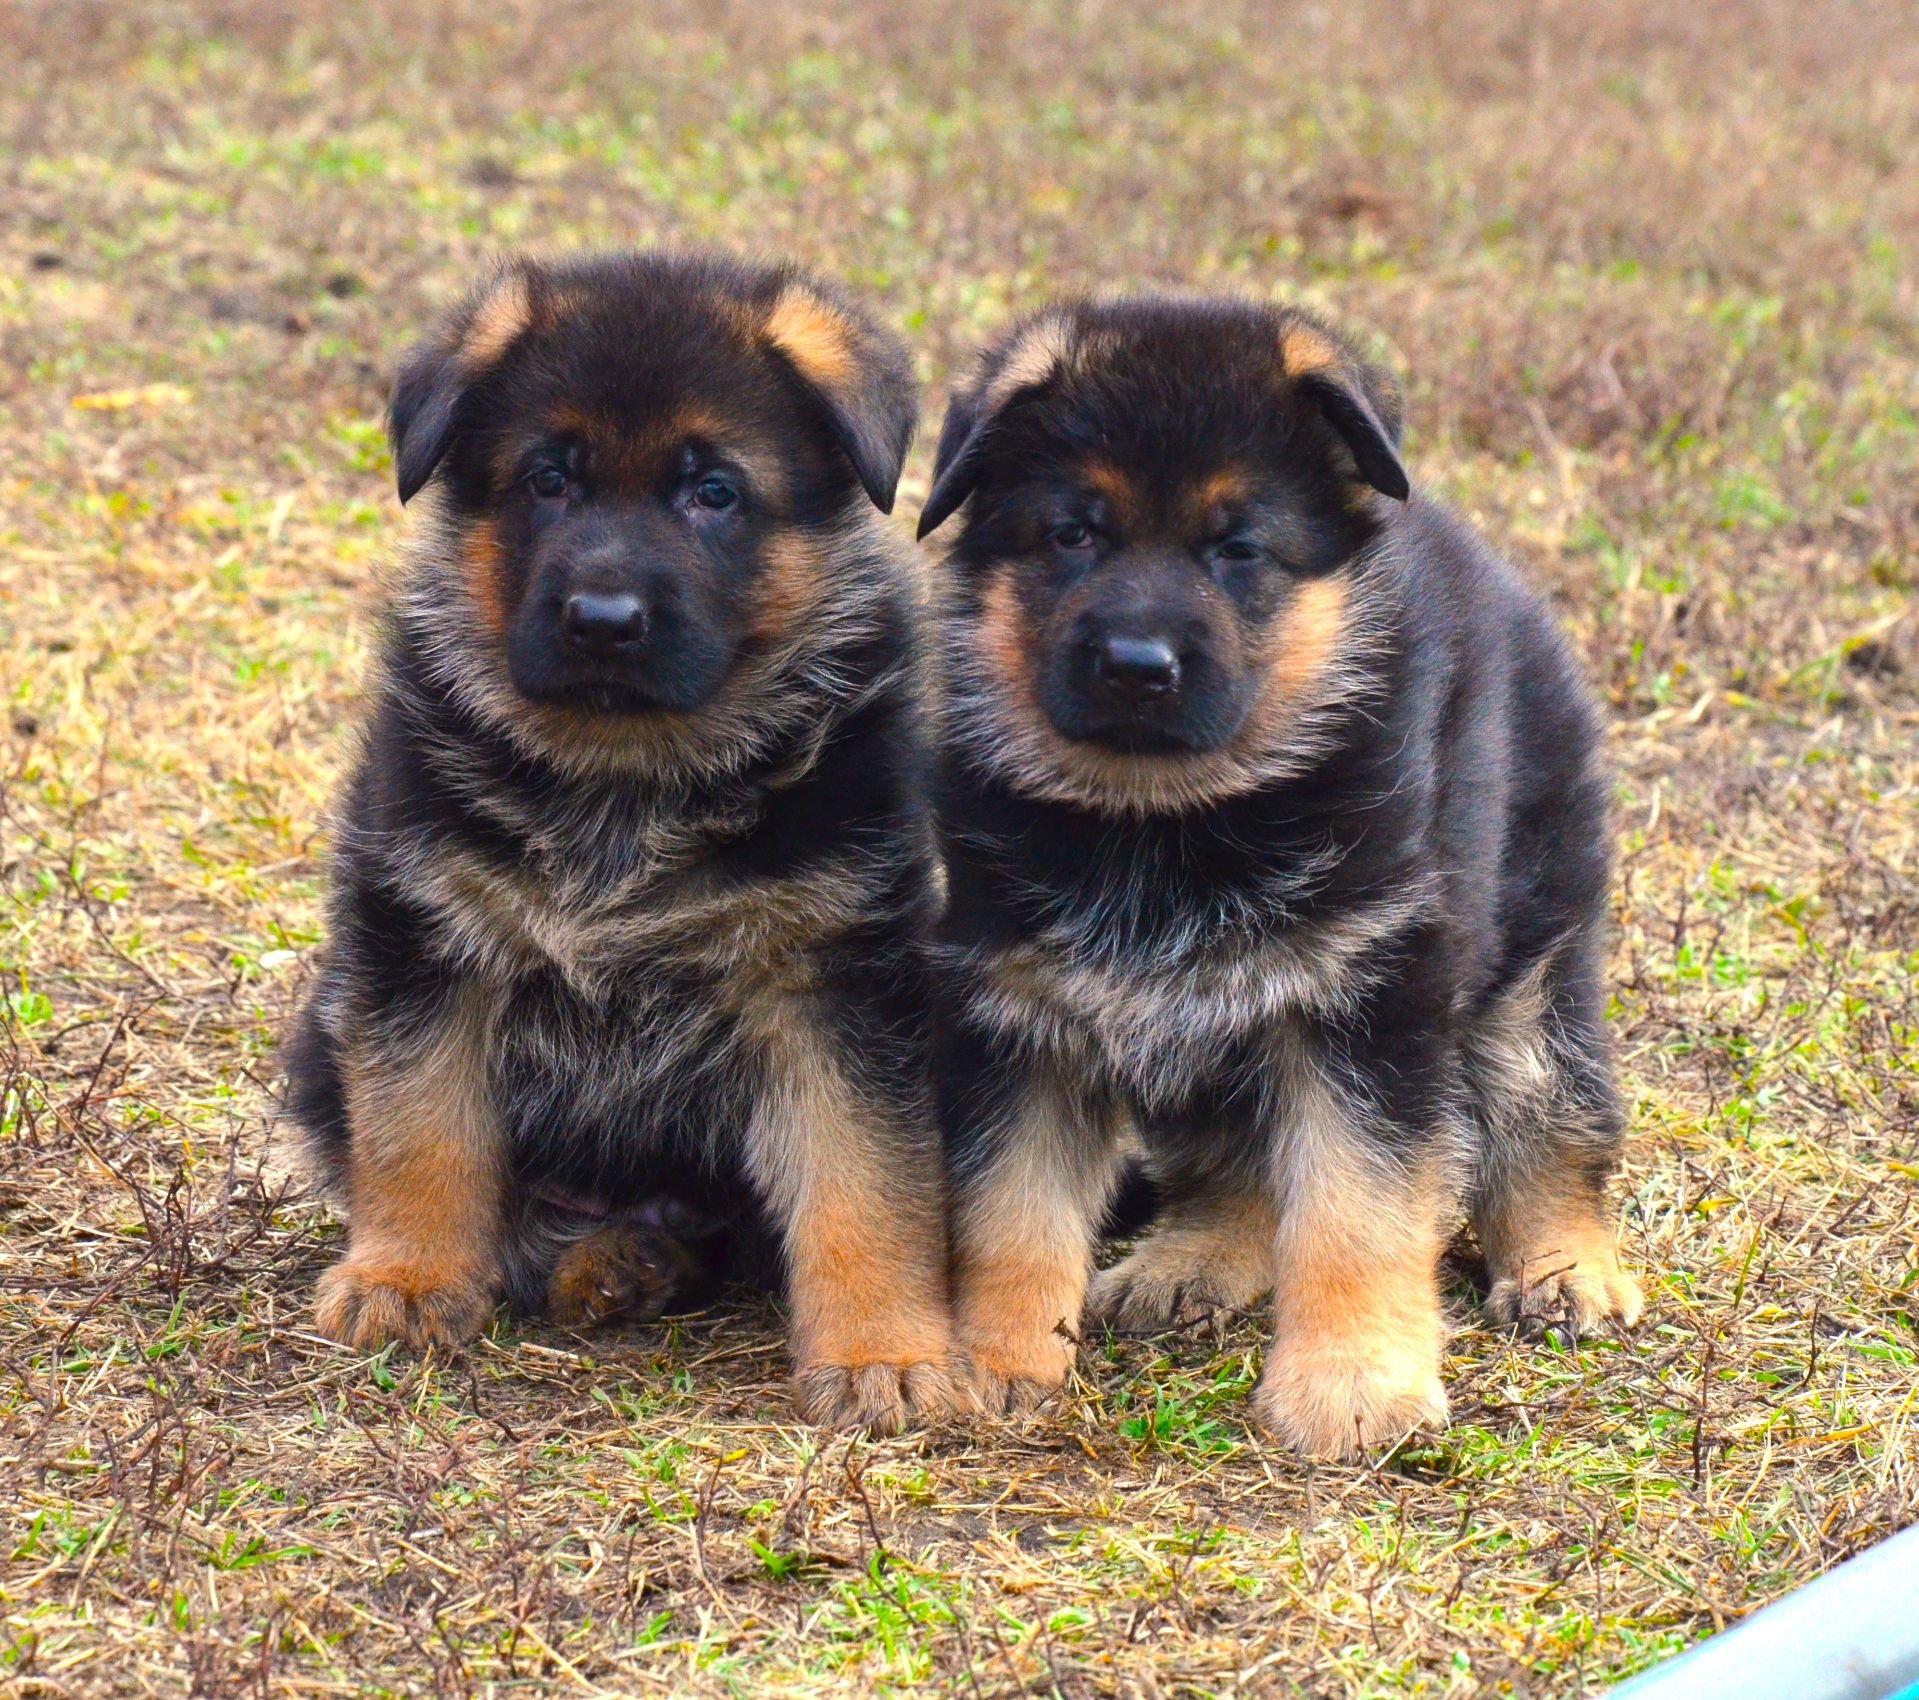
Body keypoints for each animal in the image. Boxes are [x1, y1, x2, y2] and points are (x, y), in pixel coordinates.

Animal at [284, 245, 974, 1427]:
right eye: (547, 479)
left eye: (714, 491)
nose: (603, 620)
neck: (625, 777)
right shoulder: (425, 941)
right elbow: (418, 1127)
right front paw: (406, 1276)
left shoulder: (834, 985)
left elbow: (866, 1177)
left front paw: (881, 1346)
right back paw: (604, 1257)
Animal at [921, 295, 1642, 1465]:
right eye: (1074, 532)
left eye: (1237, 547)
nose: (1135, 664)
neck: (1165, 821)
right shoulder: (1019, 1012)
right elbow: (1009, 1210)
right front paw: (994, 1364)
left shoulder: (1369, 996)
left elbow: (1354, 1208)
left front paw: (1352, 1383)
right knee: (1231, 1159)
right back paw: (1195, 1258)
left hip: (1533, 944)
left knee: (1550, 1108)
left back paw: (1563, 1264)